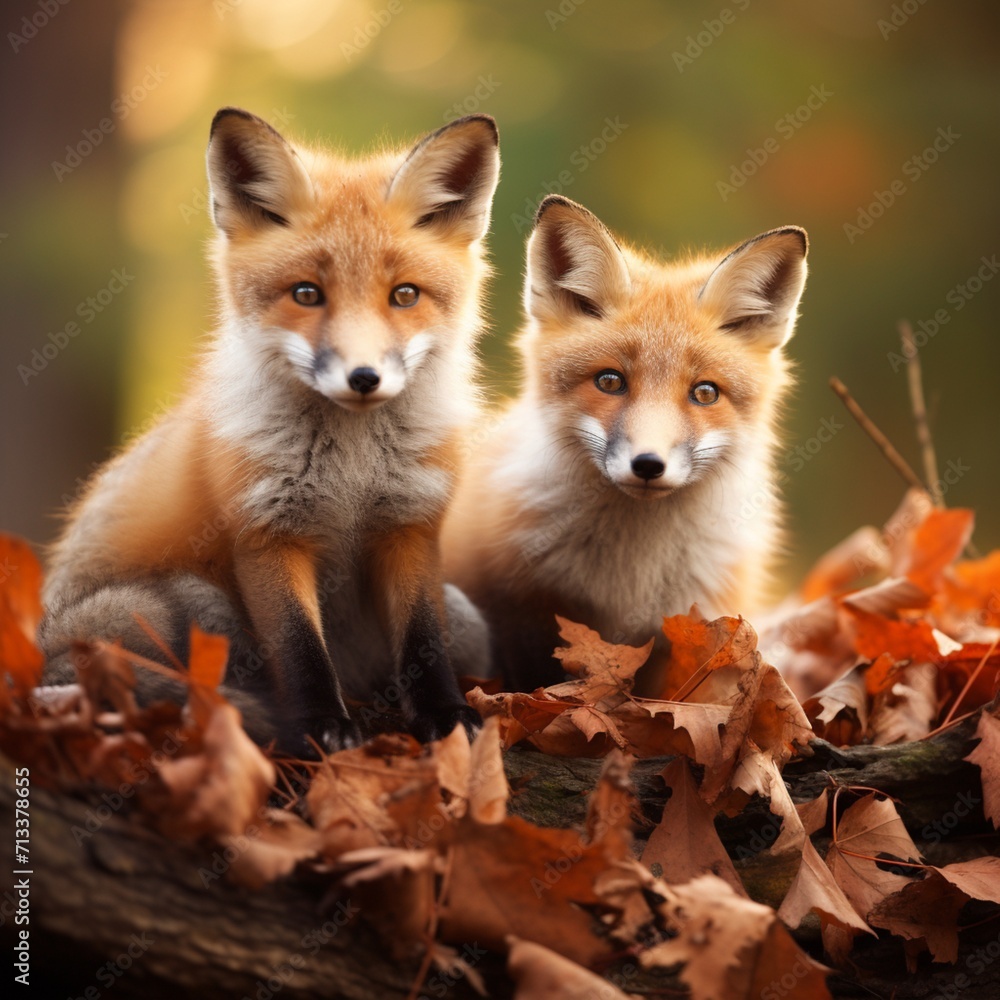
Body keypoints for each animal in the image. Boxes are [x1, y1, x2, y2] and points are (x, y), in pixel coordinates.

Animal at [39, 107, 501, 754]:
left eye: (404, 295)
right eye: (306, 294)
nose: (364, 378)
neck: (351, 469)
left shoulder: (409, 525)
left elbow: (423, 640)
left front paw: (446, 715)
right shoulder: (266, 532)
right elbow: (299, 647)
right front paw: (320, 727)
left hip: (468, 621)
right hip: (196, 603)